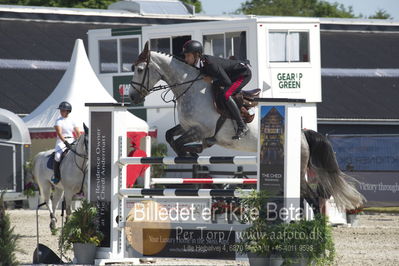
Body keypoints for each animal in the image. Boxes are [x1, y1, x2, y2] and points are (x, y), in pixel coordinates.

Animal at [129, 43, 366, 214]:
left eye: (140, 69)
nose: (132, 97)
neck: (191, 87)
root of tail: (302, 134)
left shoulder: (201, 130)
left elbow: (181, 142)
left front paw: (193, 151)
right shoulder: (187, 127)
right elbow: (170, 135)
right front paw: (191, 152)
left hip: (298, 172)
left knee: (313, 199)